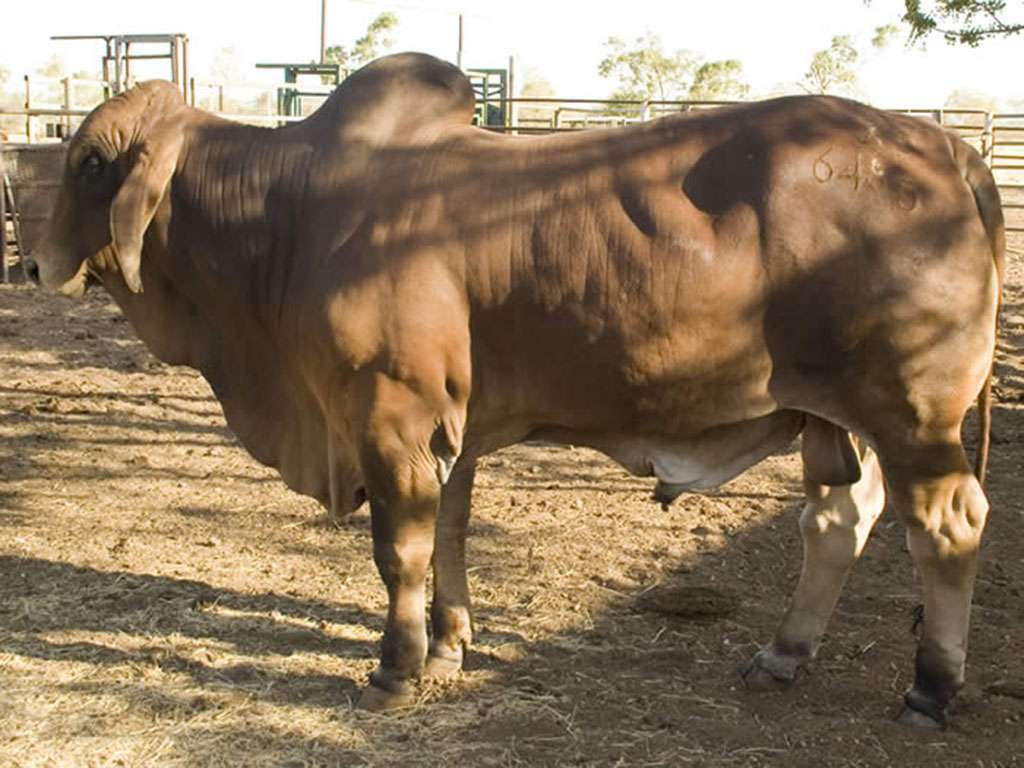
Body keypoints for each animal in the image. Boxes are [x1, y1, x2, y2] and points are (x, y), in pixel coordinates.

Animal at [29, 52, 999, 729]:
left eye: (90, 164)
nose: (35, 264)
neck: (286, 214)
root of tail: (945, 144)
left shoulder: (390, 414)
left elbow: (400, 550)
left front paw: (395, 669)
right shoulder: (450, 426)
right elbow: (448, 536)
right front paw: (450, 646)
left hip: (914, 416)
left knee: (945, 527)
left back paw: (931, 688)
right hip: (836, 419)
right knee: (840, 520)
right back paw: (784, 652)